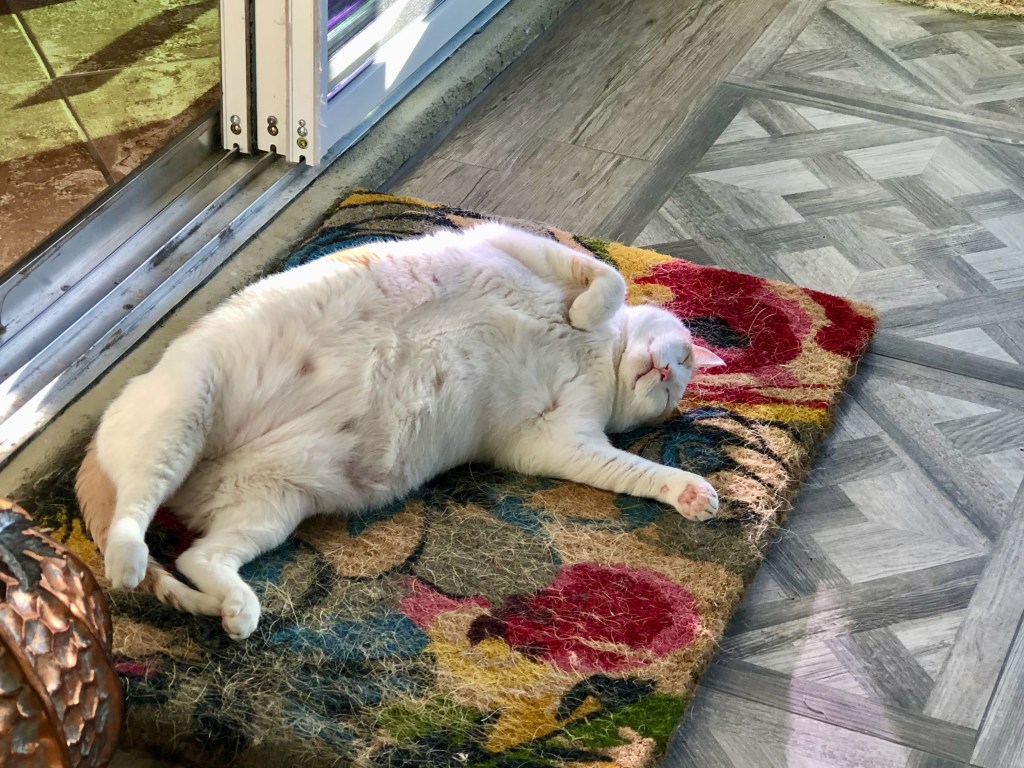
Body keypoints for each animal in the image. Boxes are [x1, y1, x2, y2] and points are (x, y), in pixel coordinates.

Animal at [75, 223, 726, 640]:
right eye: (684, 356)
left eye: (677, 382)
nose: (666, 372)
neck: (596, 359)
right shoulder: (515, 242)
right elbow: (609, 278)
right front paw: (586, 312)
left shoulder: (559, 442)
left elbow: (637, 471)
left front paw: (689, 492)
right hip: (186, 413)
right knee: (134, 511)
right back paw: (129, 561)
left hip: (270, 507)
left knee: (197, 557)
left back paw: (238, 610)